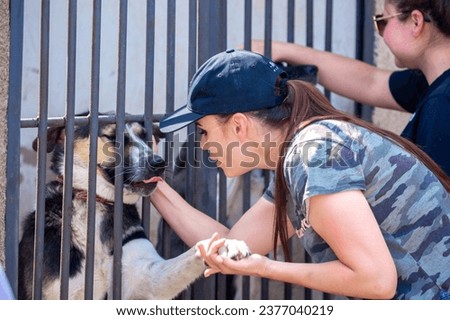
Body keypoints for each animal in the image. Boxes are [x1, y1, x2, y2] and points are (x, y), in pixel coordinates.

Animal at [18, 115, 250, 300]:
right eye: (112, 137)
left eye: (146, 137)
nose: (159, 162)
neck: (96, 202)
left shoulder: (146, 278)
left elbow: (191, 254)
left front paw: (226, 244)